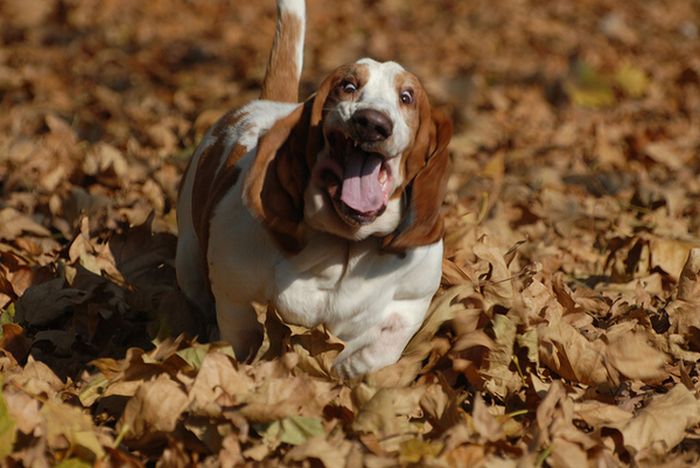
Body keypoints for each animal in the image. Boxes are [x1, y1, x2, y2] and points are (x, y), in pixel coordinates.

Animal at [176, 0, 454, 378]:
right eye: (348, 86)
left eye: (407, 97)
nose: (372, 122)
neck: (346, 244)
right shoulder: (235, 293)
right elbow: (241, 338)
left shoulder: (409, 303)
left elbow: (375, 351)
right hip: (188, 257)